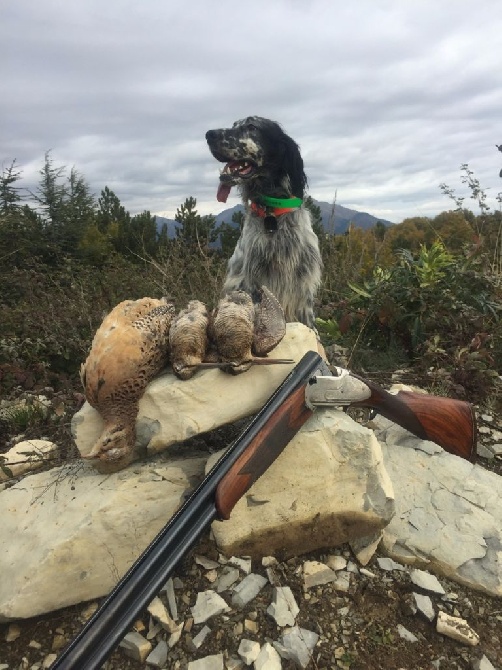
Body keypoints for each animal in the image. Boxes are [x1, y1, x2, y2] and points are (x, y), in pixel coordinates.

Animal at [205, 119, 320, 334]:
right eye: (234, 124)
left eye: (252, 126)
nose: (209, 134)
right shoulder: (253, 284)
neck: (272, 212)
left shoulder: (303, 287)